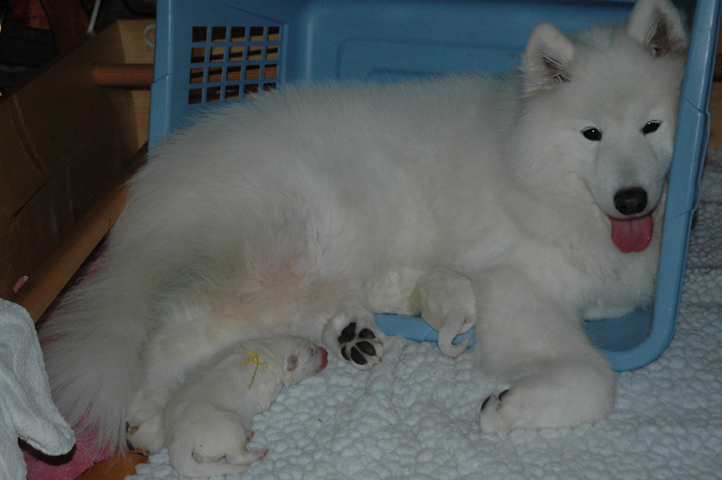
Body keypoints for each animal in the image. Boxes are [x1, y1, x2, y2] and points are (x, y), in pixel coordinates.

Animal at [39, 0, 688, 454]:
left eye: (652, 126)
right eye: (592, 134)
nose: (632, 200)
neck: (527, 161)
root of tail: (163, 177)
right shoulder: (513, 284)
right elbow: (595, 378)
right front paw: (506, 406)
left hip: (293, 288)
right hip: (290, 263)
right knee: (166, 334)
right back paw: (146, 419)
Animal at [126, 336, 326, 478]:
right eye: (312, 353)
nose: (326, 351)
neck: (271, 351)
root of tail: (178, 441)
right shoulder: (265, 391)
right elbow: (268, 398)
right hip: (228, 428)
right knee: (233, 458)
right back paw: (257, 453)